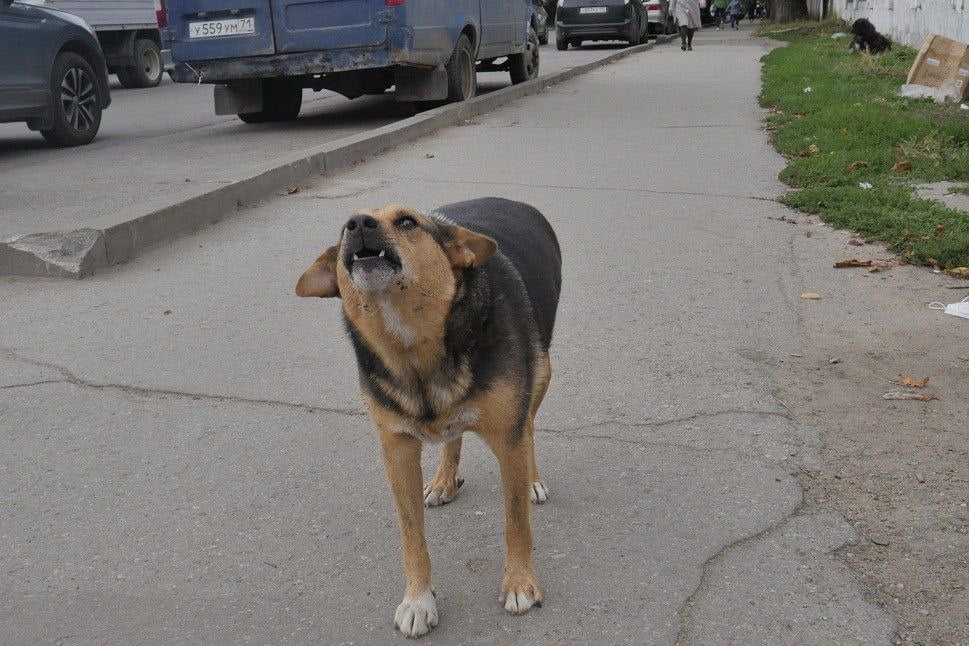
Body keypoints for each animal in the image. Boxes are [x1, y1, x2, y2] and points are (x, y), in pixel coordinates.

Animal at [298, 196, 564, 636]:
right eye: (342, 229)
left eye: (407, 223)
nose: (359, 224)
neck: (413, 346)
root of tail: (510, 200)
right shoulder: (397, 452)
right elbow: (412, 536)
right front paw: (419, 599)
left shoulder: (507, 440)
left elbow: (516, 522)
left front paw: (519, 583)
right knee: (452, 435)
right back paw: (443, 480)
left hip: (541, 371)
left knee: (527, 425)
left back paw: (533, 479)